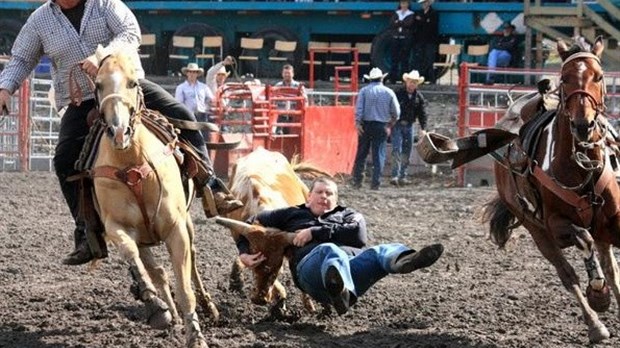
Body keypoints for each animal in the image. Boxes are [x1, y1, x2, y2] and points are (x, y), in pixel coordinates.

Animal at [89, 47, 216, 348]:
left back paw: (207, 307)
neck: (132, 163)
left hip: (188, 224)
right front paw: (156, 306)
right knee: (157, 270)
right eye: (98, 85)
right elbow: (131, 253)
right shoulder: (116, 227)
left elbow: (184, 287)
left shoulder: (176, 229)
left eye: (133, 82)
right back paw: (169, 312)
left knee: (193, 263)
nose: (118, 131)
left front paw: (196, 336)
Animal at [484, 36, 620, 342]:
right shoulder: (557, 224)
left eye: (599, 76)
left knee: (610, 267)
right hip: (537, 231)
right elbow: (583, 241)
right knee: (568, 273)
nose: (583, 126)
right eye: (565, 78)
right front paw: (599, 295)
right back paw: (595, 324)